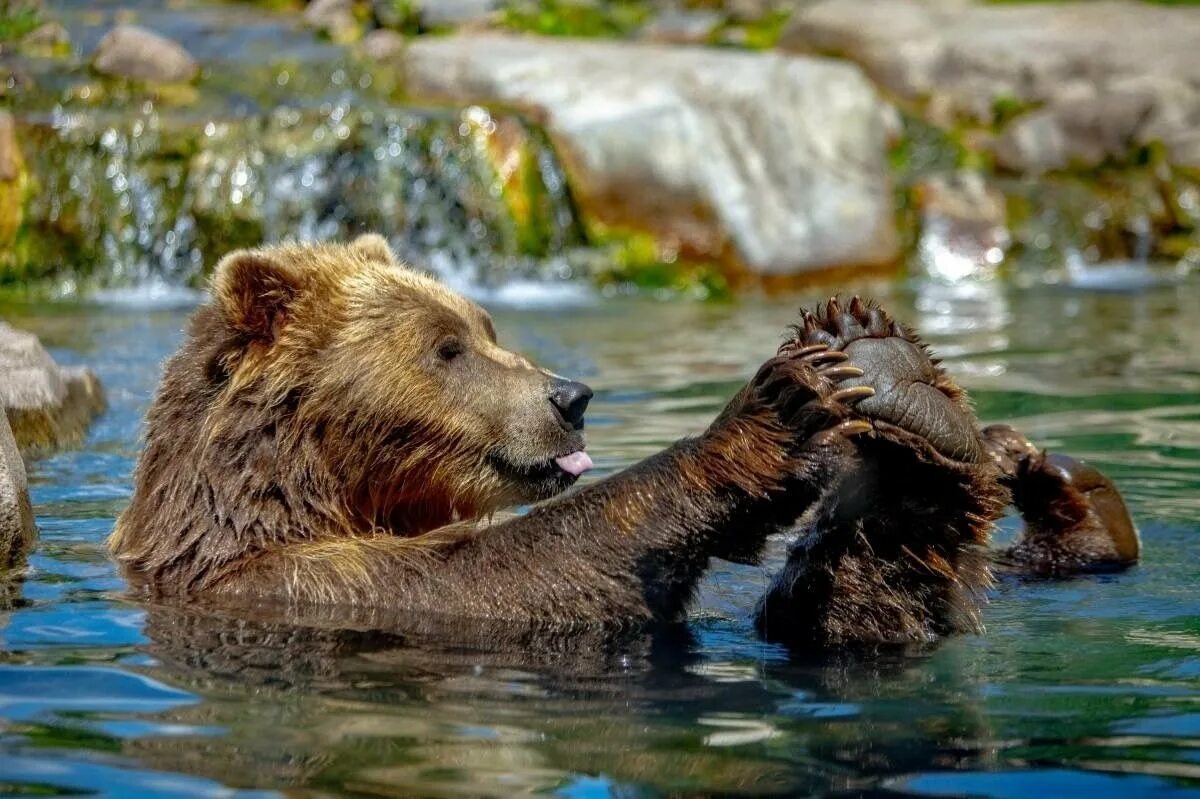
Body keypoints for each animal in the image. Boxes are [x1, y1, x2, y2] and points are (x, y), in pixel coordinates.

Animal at [108, 235, 1137, 647]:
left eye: (484, 322)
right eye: (444, 346)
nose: (569, 395)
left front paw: (849, 376)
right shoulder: (305, 582)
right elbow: (517, 575)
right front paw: (771, 411)